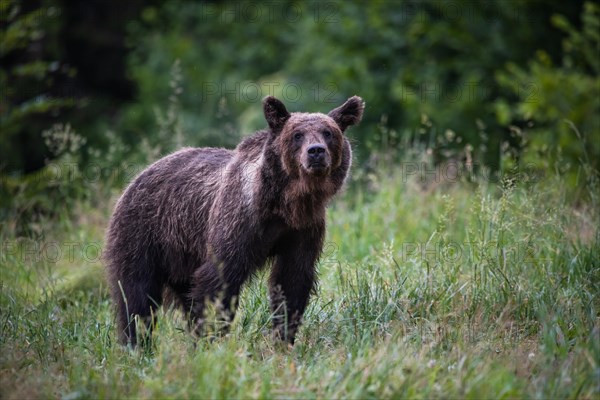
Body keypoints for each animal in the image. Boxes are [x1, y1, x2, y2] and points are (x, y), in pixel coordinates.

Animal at [103, 95, 364, 346]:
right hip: (144, 233)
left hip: (182, 255)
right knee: (137, 296)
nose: (316, 151)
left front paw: (284, 339)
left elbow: (292, 281)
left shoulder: (303, 229)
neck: (284, 205)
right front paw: (210, 340)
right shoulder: (238, 224)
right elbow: (219, 281)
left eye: (328, 132)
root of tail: (139, 175)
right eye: (297, 135)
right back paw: (137, 344)